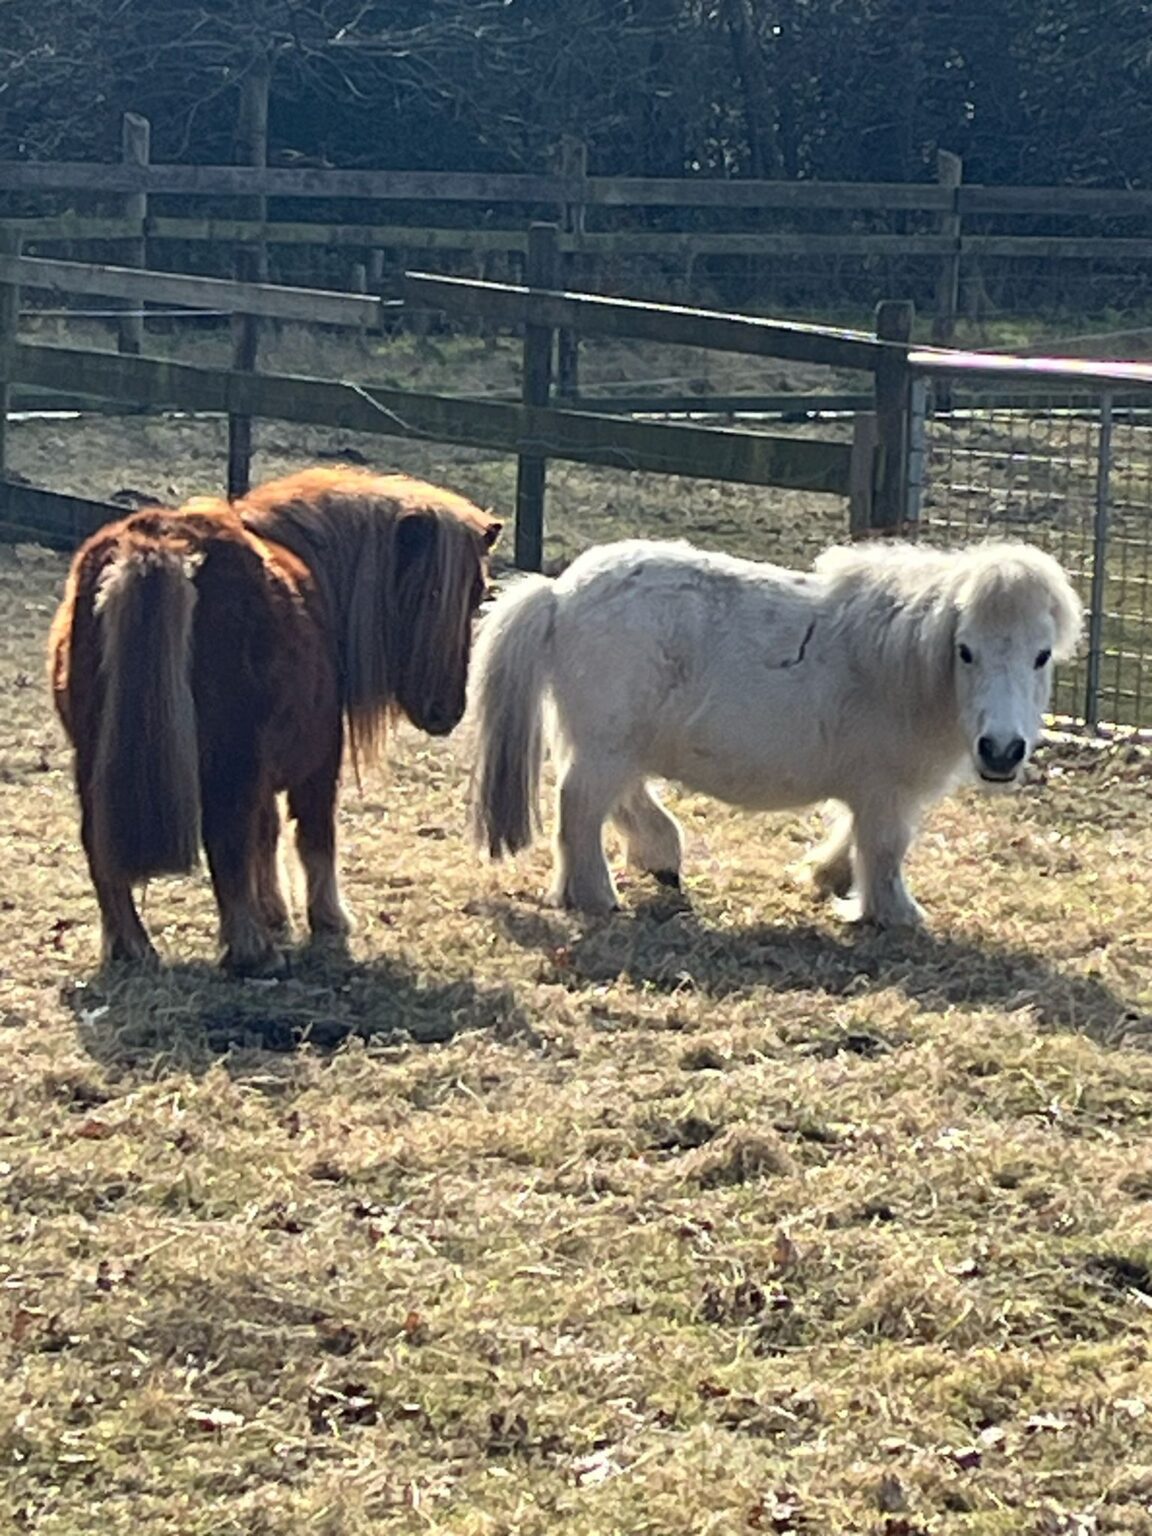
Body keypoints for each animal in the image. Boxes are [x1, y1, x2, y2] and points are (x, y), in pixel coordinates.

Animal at [50, 465, 500, 974]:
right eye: (446, 594)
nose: (447, 711)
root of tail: (155, 548)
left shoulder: (262, 774)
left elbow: (264, 838)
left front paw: (274, 911)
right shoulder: (318, 758)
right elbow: (313, 836)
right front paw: (328, 918)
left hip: (94, 759)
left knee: (101, 847)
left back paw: (133, 947)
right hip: (227, 761)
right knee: (225, 842)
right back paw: (251, 951)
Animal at [467, 537, 1082, 928]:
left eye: (1041, 656)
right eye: (966, 651)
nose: (1001, 751)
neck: (900, 668)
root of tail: (558, 595)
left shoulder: (871, 792)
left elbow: (852, 836)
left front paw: (826, 878)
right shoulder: (885, 791)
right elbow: (885, 849)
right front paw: (895, 915)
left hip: (617, 746)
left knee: (624, 800)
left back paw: (660, 858)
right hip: (605, 747)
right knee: (581, 808)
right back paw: (595, 896)